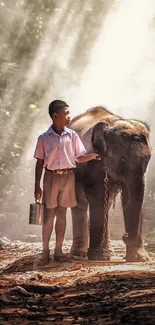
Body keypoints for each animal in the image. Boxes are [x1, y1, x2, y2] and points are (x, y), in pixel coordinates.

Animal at [69, 105, 152, 260]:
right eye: (123, 159)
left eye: (148, 159)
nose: (124, 235)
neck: (113, 122)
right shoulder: (92, 160)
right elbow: (97, 197)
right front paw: (95, 257)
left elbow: (128, 198)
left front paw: (139, 258)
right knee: (80, 205)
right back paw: (80, 254)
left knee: (106, 204)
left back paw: (107, 253)